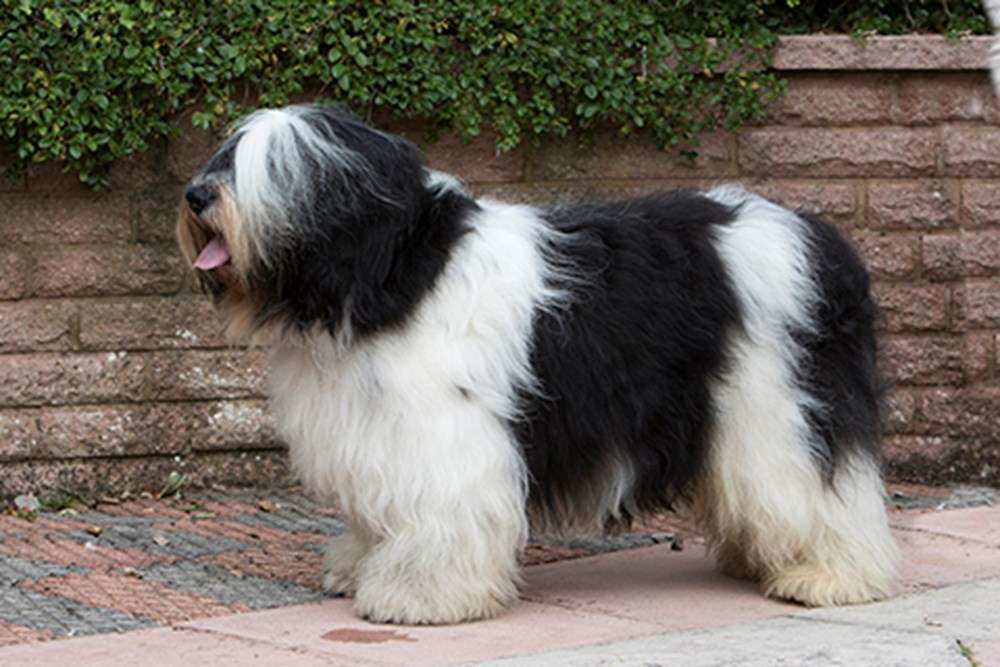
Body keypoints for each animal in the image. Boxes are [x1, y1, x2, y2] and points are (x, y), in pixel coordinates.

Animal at [178, 105, 900, 628]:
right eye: (227, 155)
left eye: (279, 169)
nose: (195, 195)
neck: (397, 275)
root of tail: (822, 241)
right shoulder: (378, 431)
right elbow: (381, 510)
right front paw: (362, 563)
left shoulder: (446, 439)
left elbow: (442, 514)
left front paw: (420, 593)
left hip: (782, 405)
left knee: (825, 490)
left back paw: (832, 574)